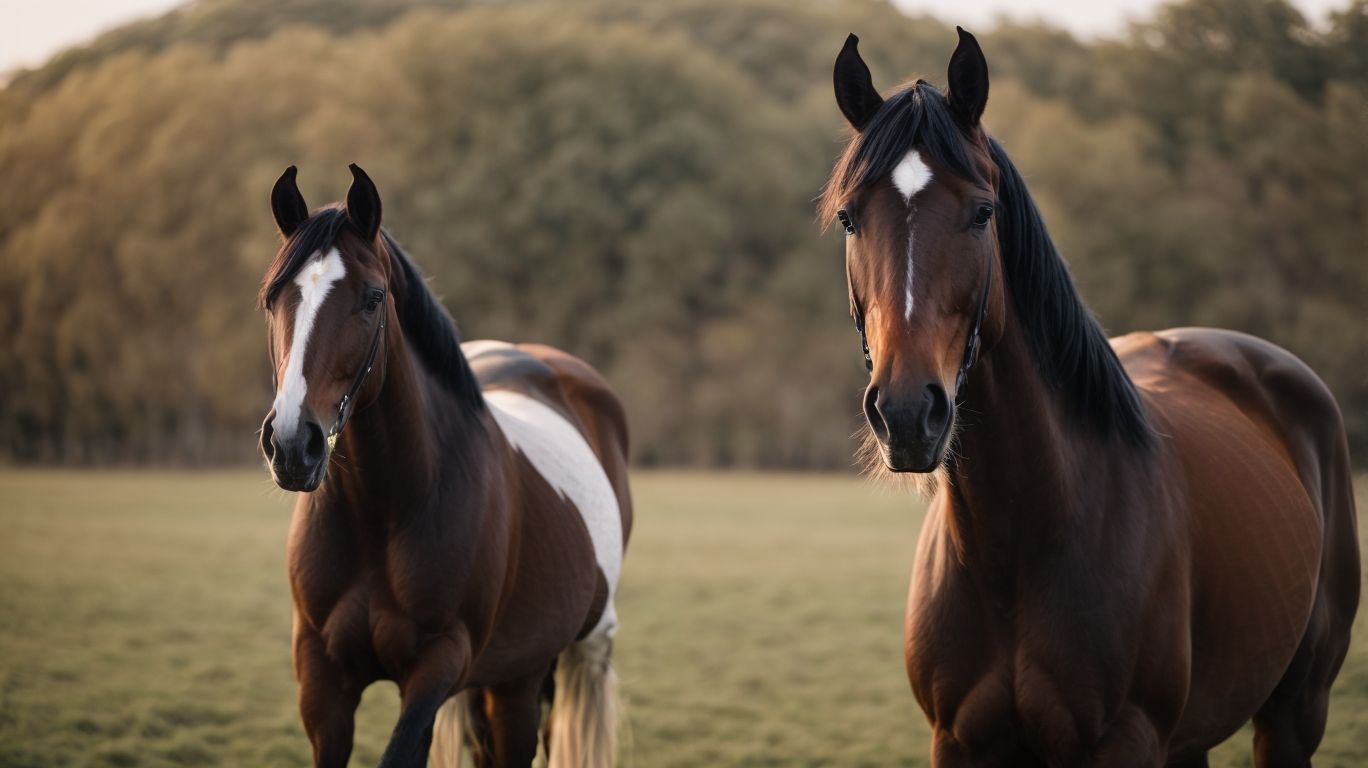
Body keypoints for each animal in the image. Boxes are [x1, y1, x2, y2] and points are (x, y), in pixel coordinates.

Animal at [258, 164, 632, 768]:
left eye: (372, 298)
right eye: (273, 300)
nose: (293, 444)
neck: (385, 512)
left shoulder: (439, 665)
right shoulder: (321, 677)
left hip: (533, 671)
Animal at [821, 29, 1359, 767]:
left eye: (981, 213)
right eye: (850, 218)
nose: (906, 413)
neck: (1019, 547)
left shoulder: (1125, 741)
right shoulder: (957, 743)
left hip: (1293, 715)